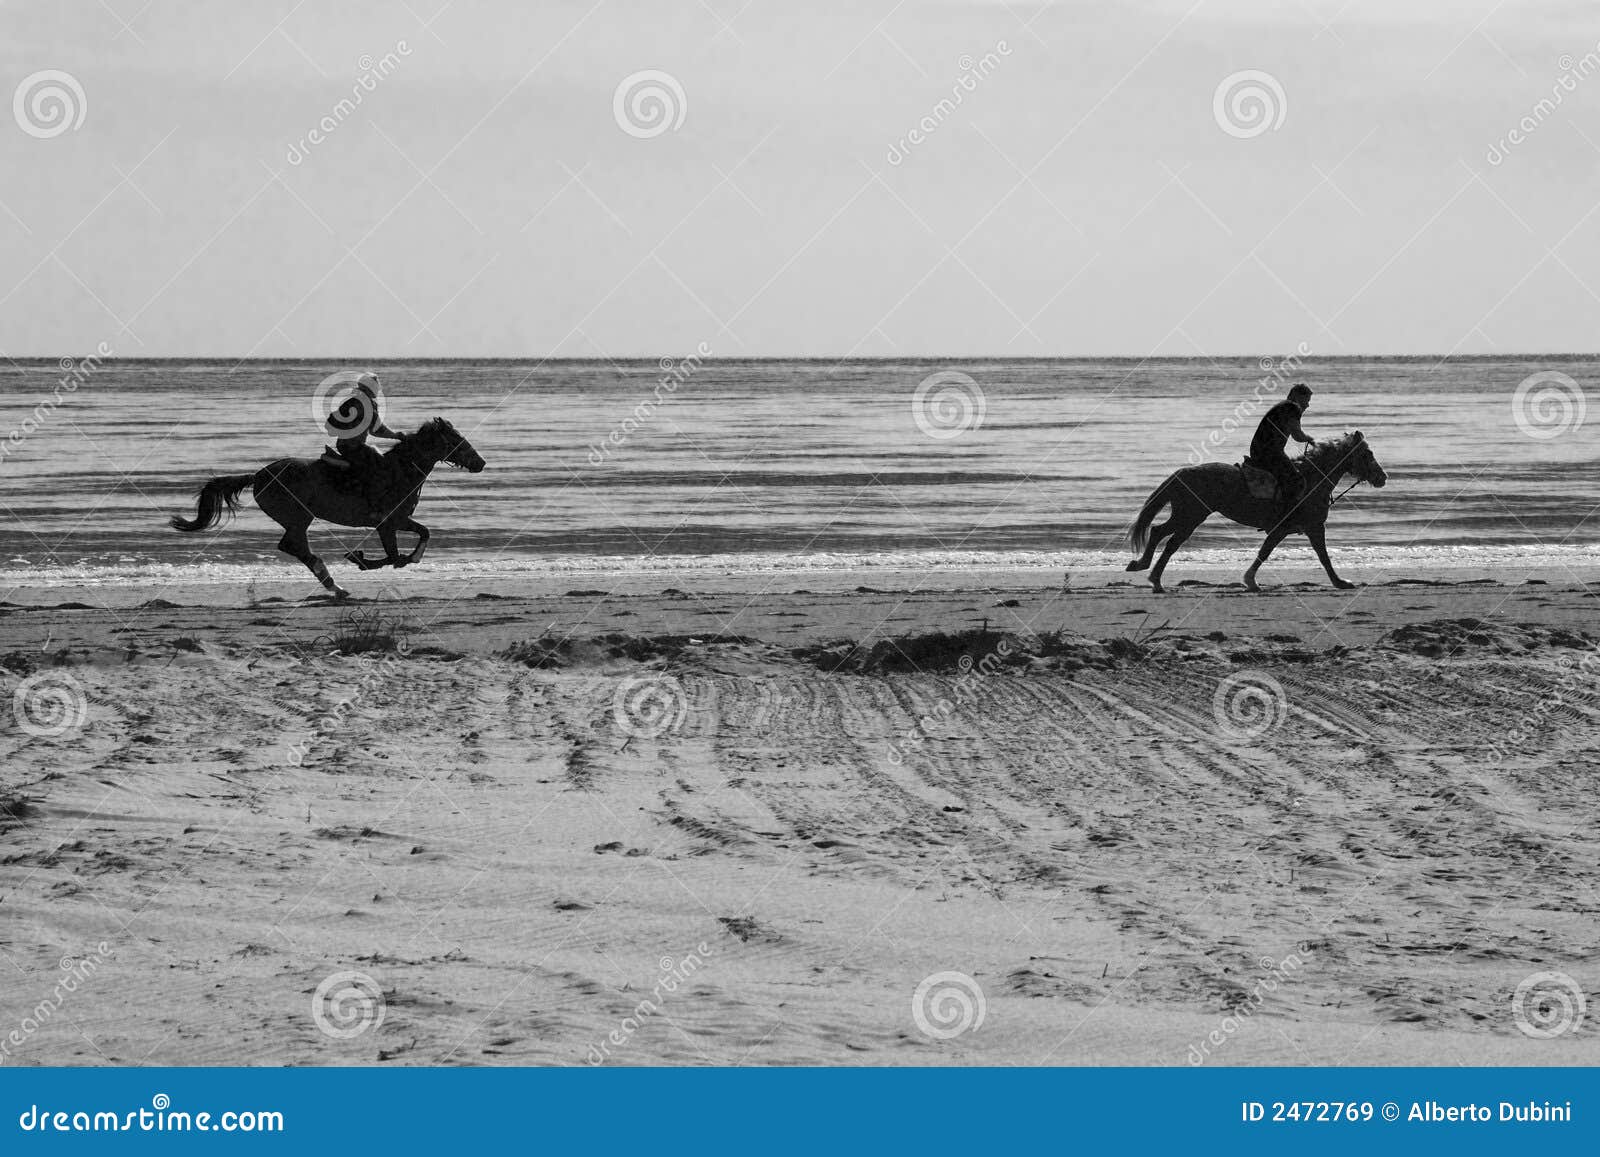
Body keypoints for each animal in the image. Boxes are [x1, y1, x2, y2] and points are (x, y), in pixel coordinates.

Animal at [170, 416, 480, 598]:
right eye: (456, 439)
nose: (481, 462)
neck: (401, 471)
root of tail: (258, 475)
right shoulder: (387, 522)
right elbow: (395, 555)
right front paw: (363, 559)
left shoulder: (398, 521)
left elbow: (422, 534)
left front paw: (389, 558)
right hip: (299, 517)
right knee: (293, 545)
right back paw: (334, 584)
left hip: (298, 518)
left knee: (292, 546)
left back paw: (333, 584)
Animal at [1126, 435, 1388, 598]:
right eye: (1367, 454)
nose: (1382, 477)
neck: (1313, 478)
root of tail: (1182, 473)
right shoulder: (1311, 527)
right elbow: (1322, 557)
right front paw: (1340, 582)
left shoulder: (1286, 530)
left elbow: (1266, 552)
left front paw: (1250, 581)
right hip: (1191, 516)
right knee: (1168, 540)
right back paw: (1154, 578)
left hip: (1187, 515)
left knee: (1159, 533)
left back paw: (1146, 570)